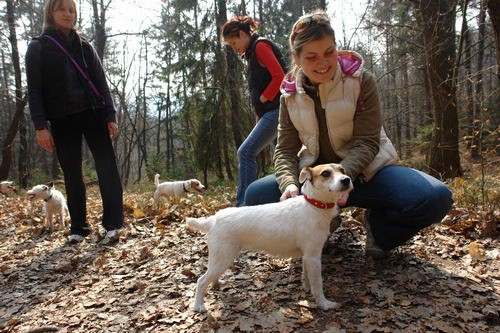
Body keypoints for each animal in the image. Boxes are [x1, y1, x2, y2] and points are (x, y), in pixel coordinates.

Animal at [186, 163, 354, 312]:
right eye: (325, 173)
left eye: (342, 170)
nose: (347, 180)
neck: (314, 206)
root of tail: (214, 219)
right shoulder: (313, 257)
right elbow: (318, 284)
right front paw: (324, 303)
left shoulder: (307, 256)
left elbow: (306, 277)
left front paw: (306, 288)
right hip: (223, 258)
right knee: (201, 281)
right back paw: (198, 305)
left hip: (221, 259)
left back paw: (215, 285)